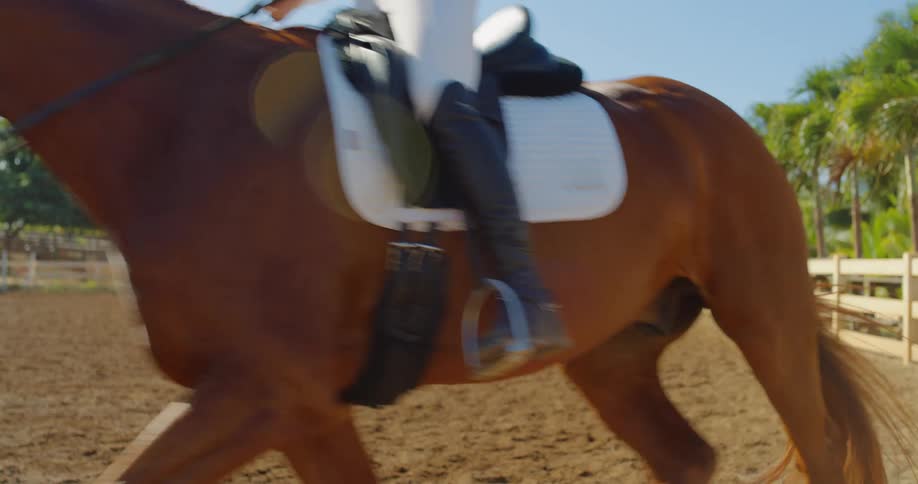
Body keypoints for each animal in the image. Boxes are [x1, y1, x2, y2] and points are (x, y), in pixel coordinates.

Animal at [1, 1, 915, 482]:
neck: (180, 118)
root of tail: (718, 116)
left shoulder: (266, 391)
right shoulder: (304, 408)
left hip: (764, 312)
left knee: (821, 444)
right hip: (615, 351)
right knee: (685, 457)